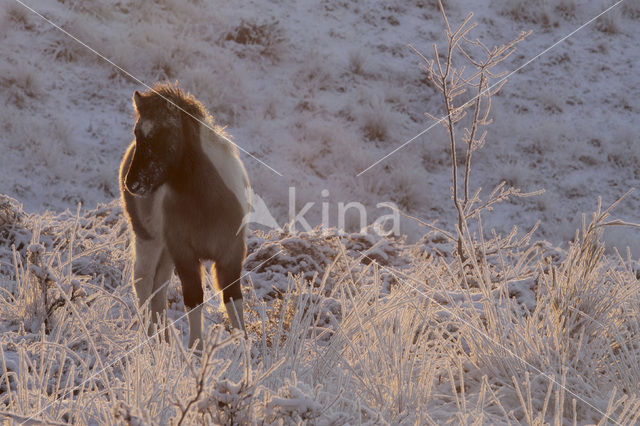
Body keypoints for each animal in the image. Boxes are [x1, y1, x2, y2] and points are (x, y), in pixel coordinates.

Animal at [119, 82, 251, 350]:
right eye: (137, 132)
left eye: (163, 134)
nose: (133, 183)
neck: (208, 203)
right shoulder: (186, 256)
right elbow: (193, 299)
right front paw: (196, 349)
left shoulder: (231, 254)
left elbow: (233, 300)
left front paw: (245, 351)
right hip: (149, 240)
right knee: (144, 282)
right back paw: (151, 340)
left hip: (167, 251)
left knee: (159, 288)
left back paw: (164, 341)